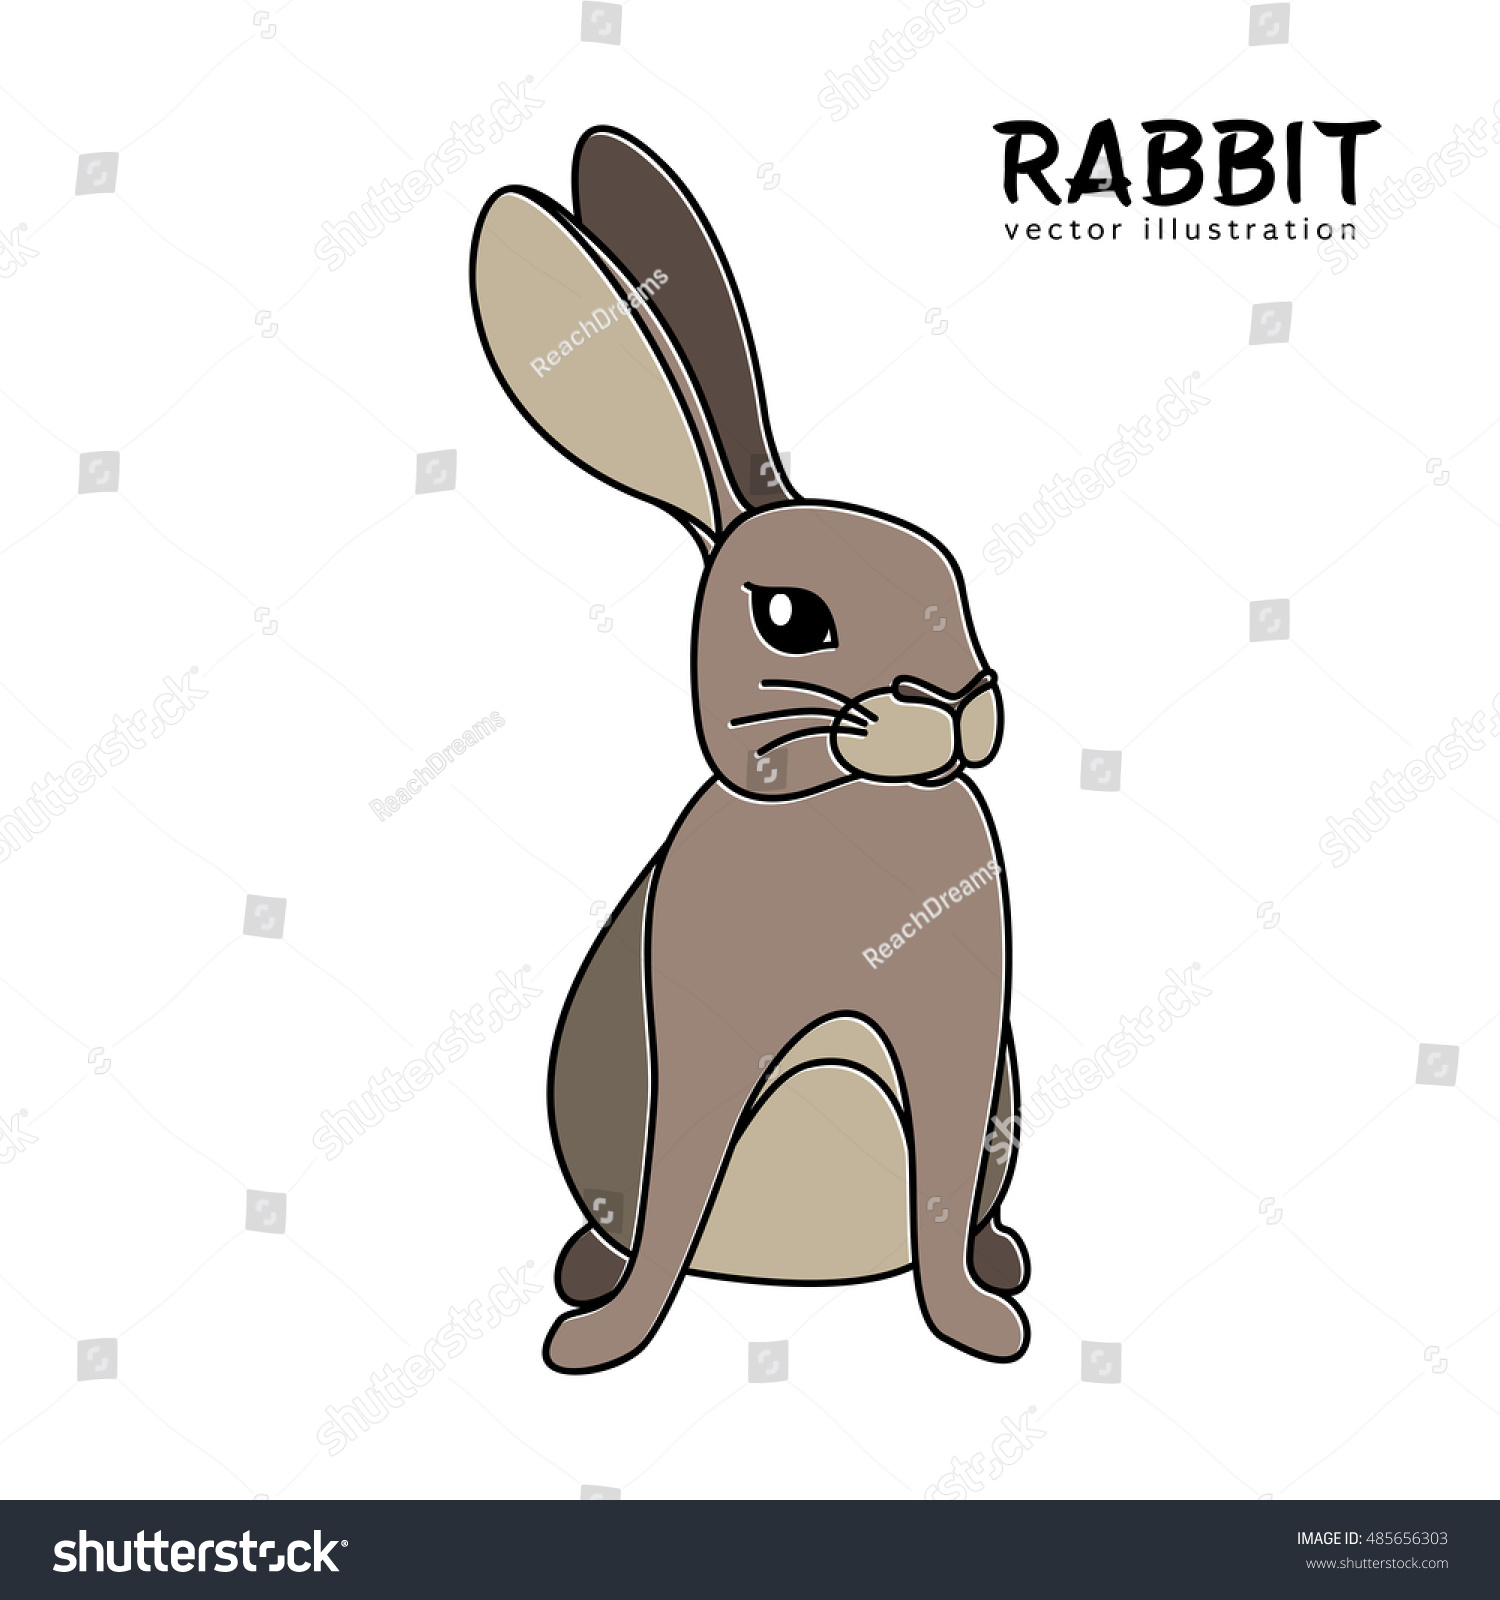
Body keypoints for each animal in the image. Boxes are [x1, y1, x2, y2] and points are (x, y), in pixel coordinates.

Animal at [470, 126, 1029, 1374]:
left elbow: (939, 1195)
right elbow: (675, 1183)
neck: (837, 800)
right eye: (790, 619)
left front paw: (978, 1326)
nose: (965, 703)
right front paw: (601, 1345)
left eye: (946, 572)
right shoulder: (694, 1043)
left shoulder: (963, 1042)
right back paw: (588, 1279)